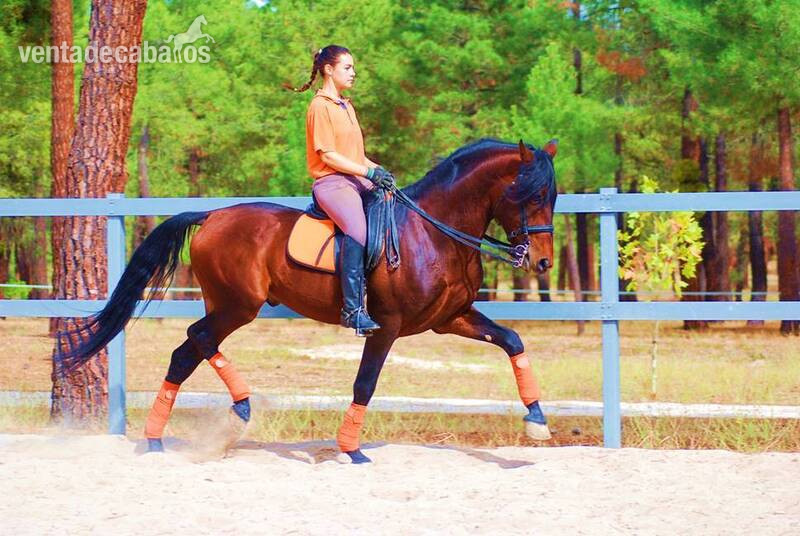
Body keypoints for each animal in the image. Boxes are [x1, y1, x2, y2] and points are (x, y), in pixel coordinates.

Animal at [58, 138, 558, 463]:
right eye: (532, 194)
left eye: (552, 196)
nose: (543, 262)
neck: (434, 232)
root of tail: (213, 214)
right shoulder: (387, 325)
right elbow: (364, 384)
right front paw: (351, 450)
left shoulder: (451, 317)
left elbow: (512, 341)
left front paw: (536, 419)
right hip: (238, 306)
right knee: (198, 338)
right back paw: (235, 409)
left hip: (227, 306)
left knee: (187, 351)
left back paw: (161, 439)